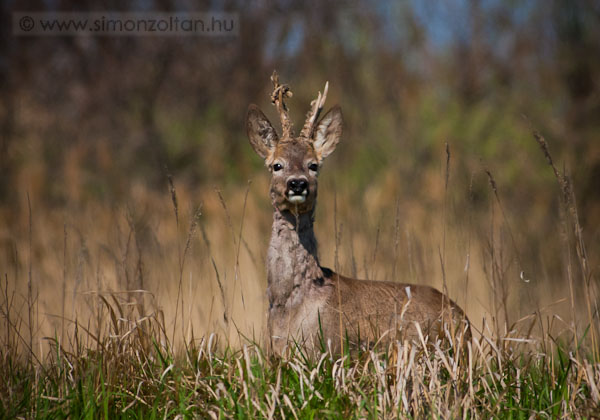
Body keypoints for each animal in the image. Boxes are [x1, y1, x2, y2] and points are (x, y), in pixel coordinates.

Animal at [245, 72, 468, 354]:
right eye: (277, 165)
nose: (297, 183)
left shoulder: (329, 347)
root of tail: (464, 320)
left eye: (313, 165)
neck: (290, 304)